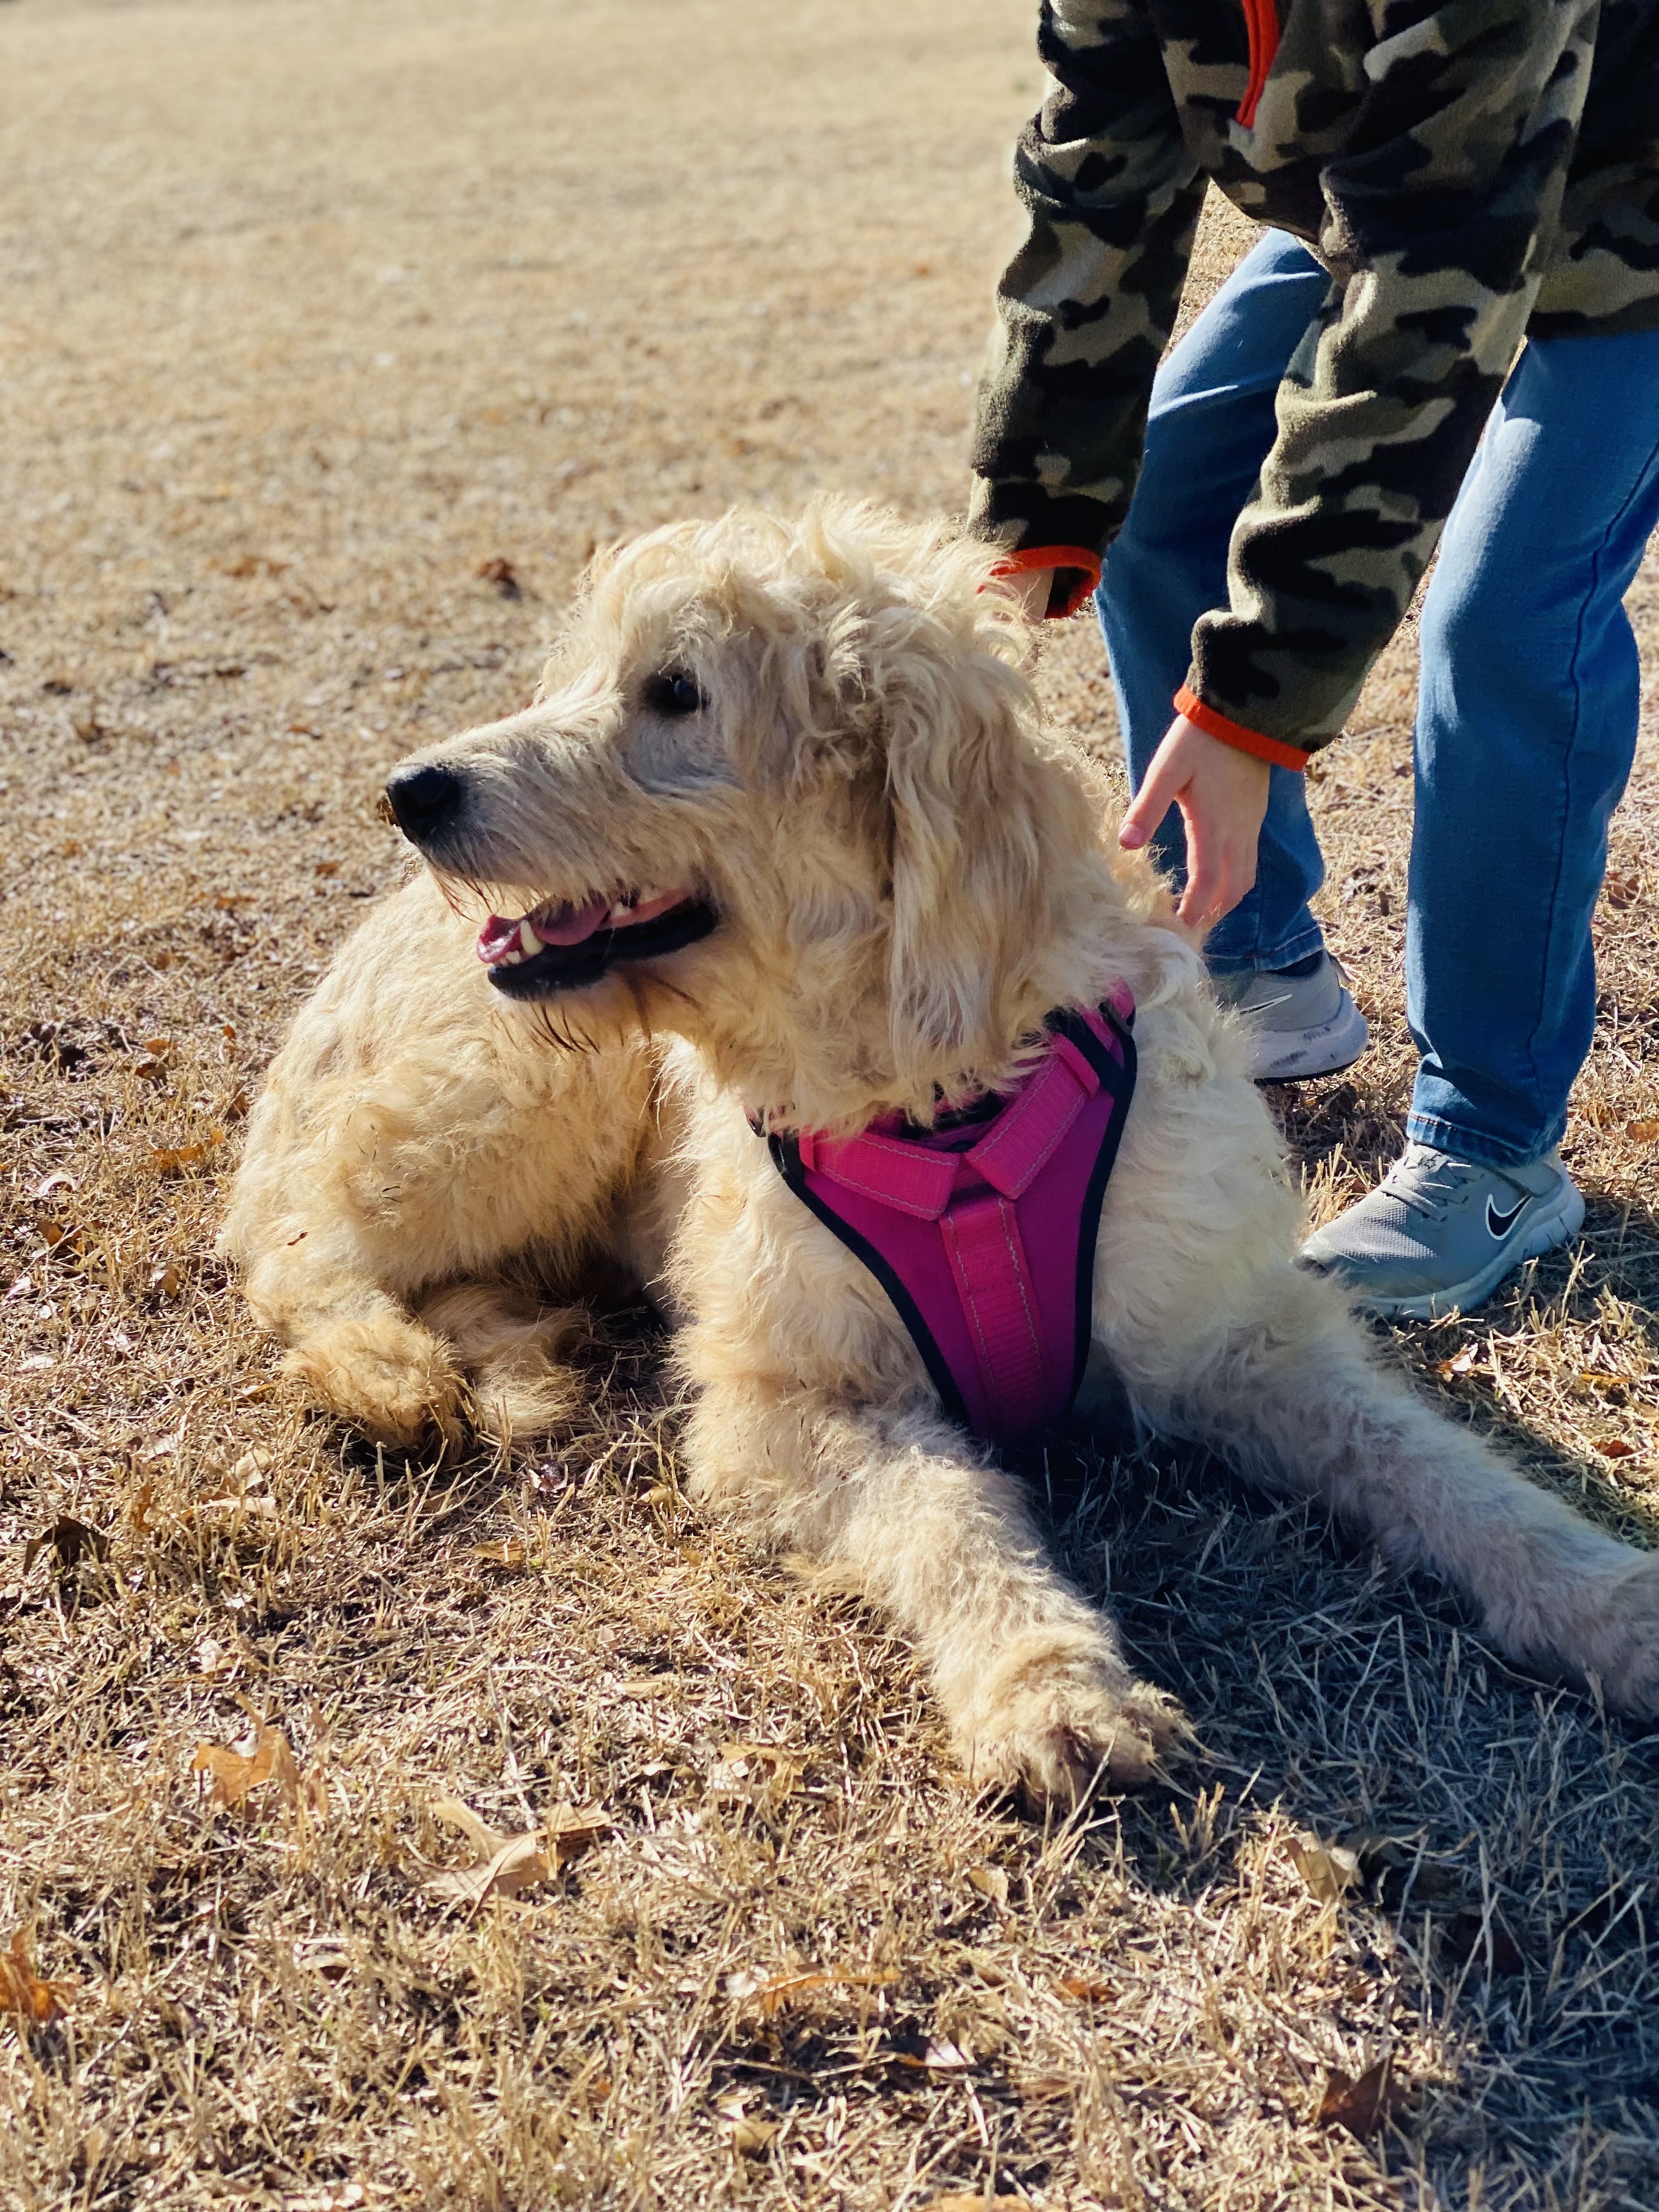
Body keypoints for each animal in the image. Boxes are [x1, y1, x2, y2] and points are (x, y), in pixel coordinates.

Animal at [223, 501, 1659, 1807]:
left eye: (675, 691)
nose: (409, 793)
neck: (947, 1101)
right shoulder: (781, 1404)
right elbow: (947, 1507)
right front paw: (1045, 1681)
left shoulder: (1233, 1329)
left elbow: (1439, 1468)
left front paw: (1608, 1600)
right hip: (521, 1100)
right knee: (297, 1240)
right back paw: (387, 1368)